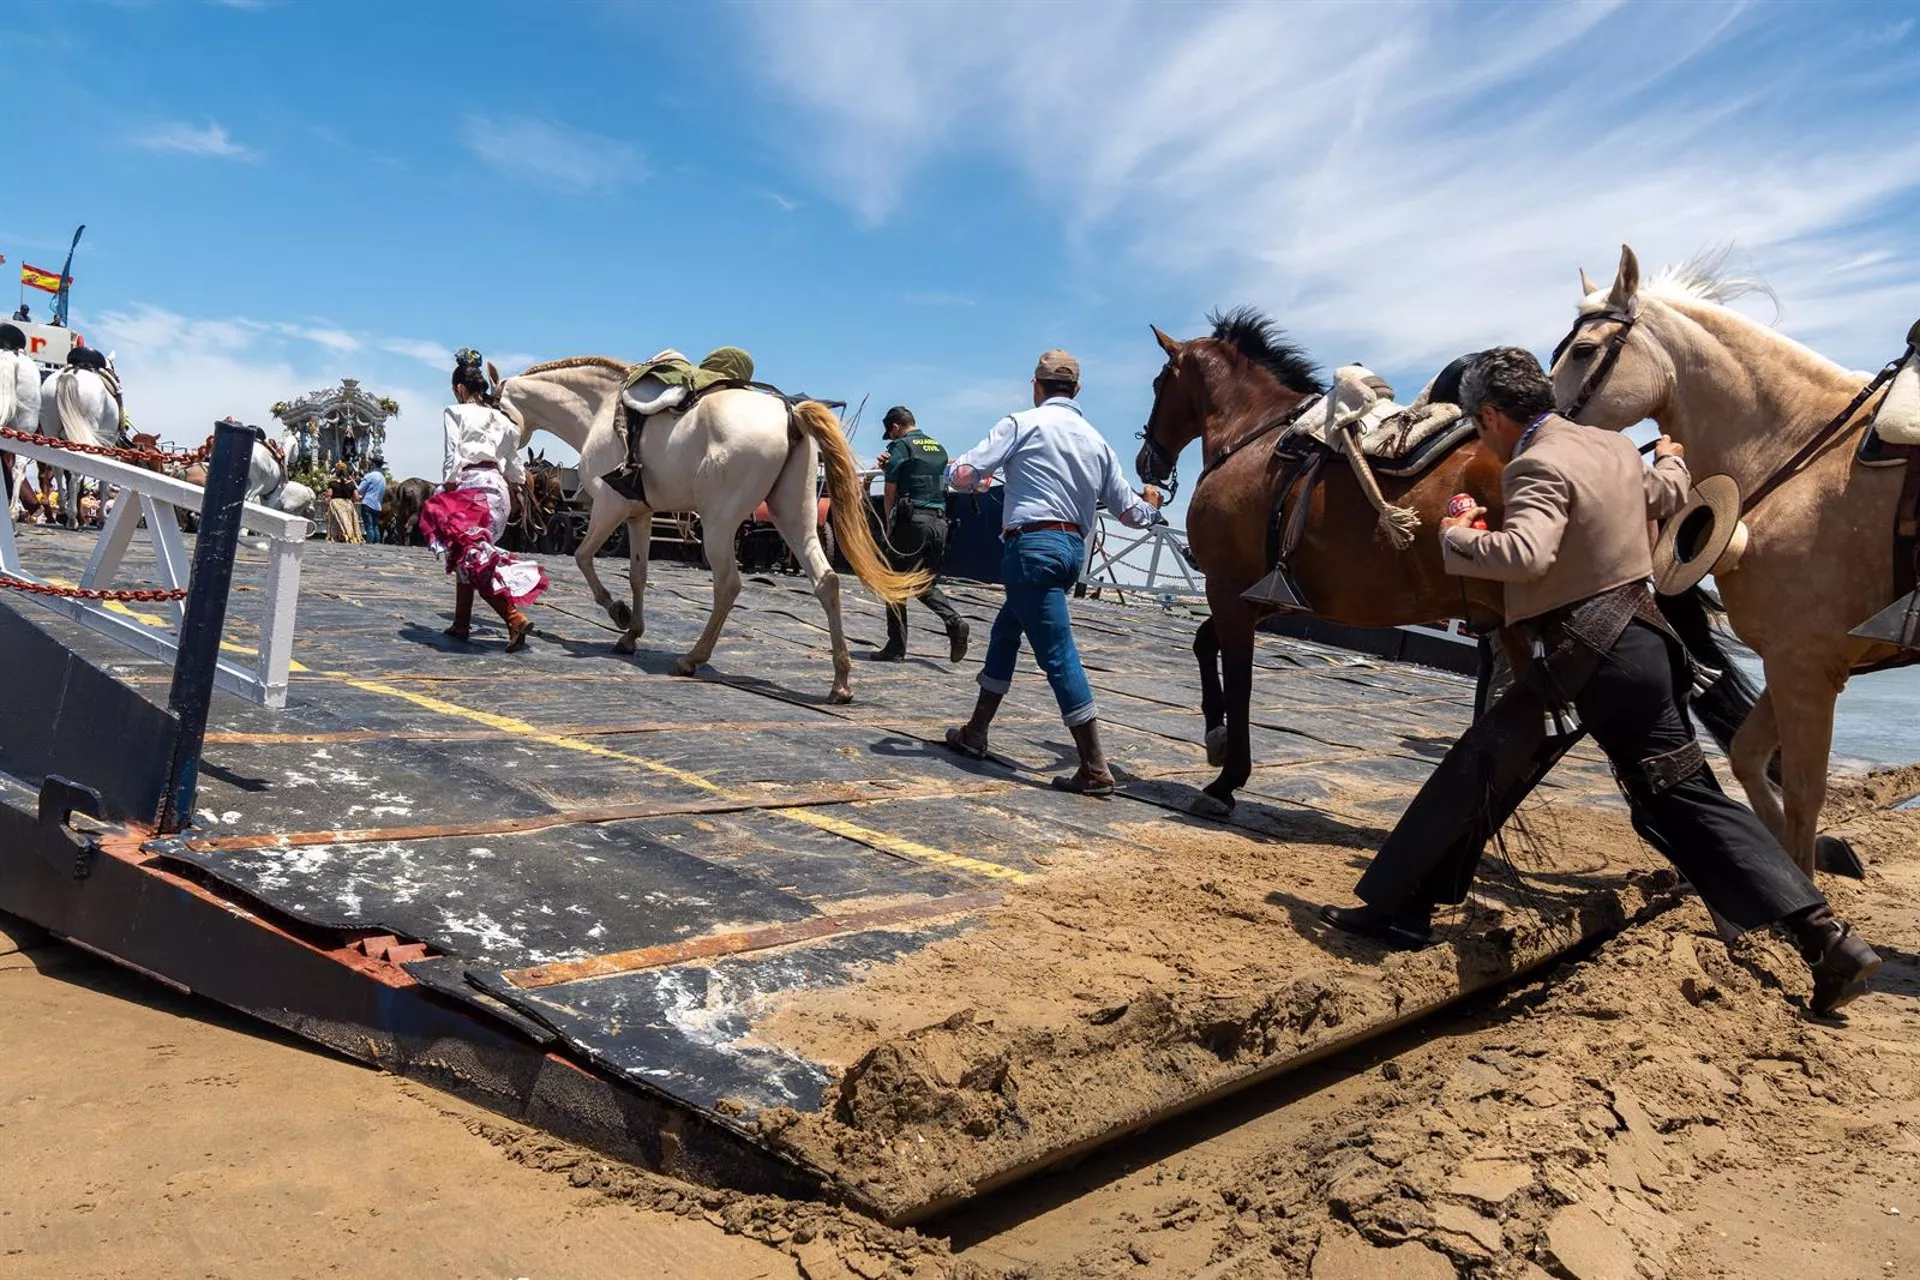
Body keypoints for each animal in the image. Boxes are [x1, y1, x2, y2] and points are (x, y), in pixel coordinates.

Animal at [491, 355, 917, 706]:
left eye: (494, 408)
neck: (602, 409)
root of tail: (789, 413)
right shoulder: (640, 514)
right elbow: (638, 574)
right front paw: (631, 634)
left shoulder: (610, 508)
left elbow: (583, 558)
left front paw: (619, 614)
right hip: (794, 516)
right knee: (827, 581)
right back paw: (840, 682)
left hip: (718, 524)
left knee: (728, 585)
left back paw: (692, 658)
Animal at [1136, 305, 1758, 817]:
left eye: (1159, 382)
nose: (1147, 460)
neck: (1258, 435)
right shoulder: (1266, 597)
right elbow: (1205, 644)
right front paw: (1216, 740)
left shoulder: (1230, 588)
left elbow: (1234, 672)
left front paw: (1227, 776)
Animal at [1551, 245, 1912, 875]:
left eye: (1585, 350)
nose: (1538, 425)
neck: (1805, 456)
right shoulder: (1793, 660)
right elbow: (1747, 755)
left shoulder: (1805, 665)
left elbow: (1804, 792)